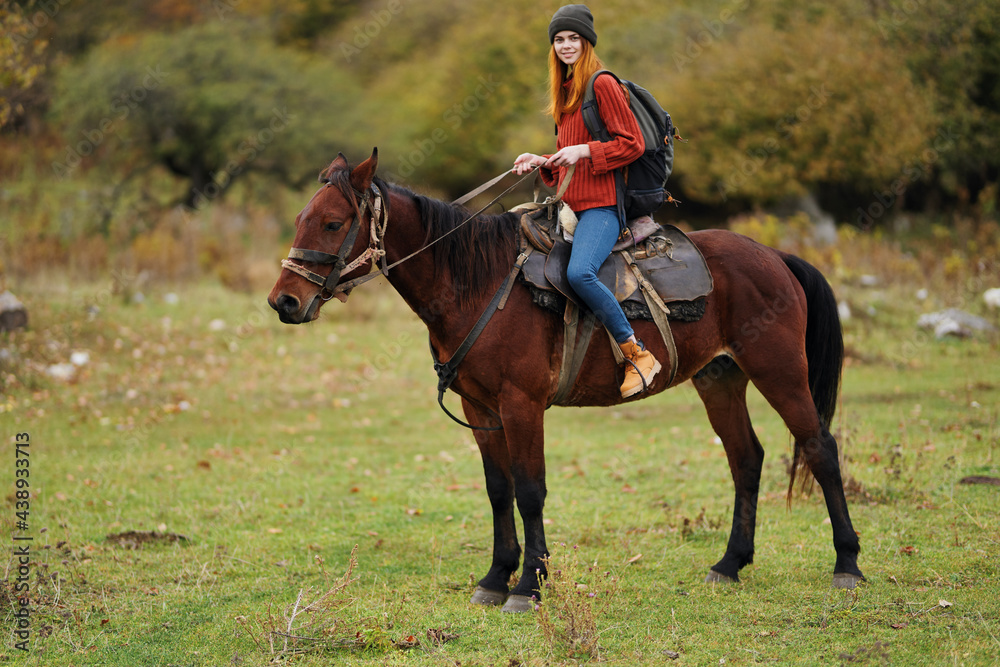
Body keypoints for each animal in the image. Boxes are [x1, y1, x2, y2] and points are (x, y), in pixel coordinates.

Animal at [270, 149, 864, 612]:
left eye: (332, 223)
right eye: (300, 217)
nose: (284, 302)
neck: (478, 283)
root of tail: (776, 256)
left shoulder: (521, 405)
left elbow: (531, 491)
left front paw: (528, 587)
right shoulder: (482, 411)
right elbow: (498, 490)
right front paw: (496, 577)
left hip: (779, 371)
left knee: (820, 448)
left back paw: (848, 564)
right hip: (720, 379)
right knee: (746, 458)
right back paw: (730, 563)